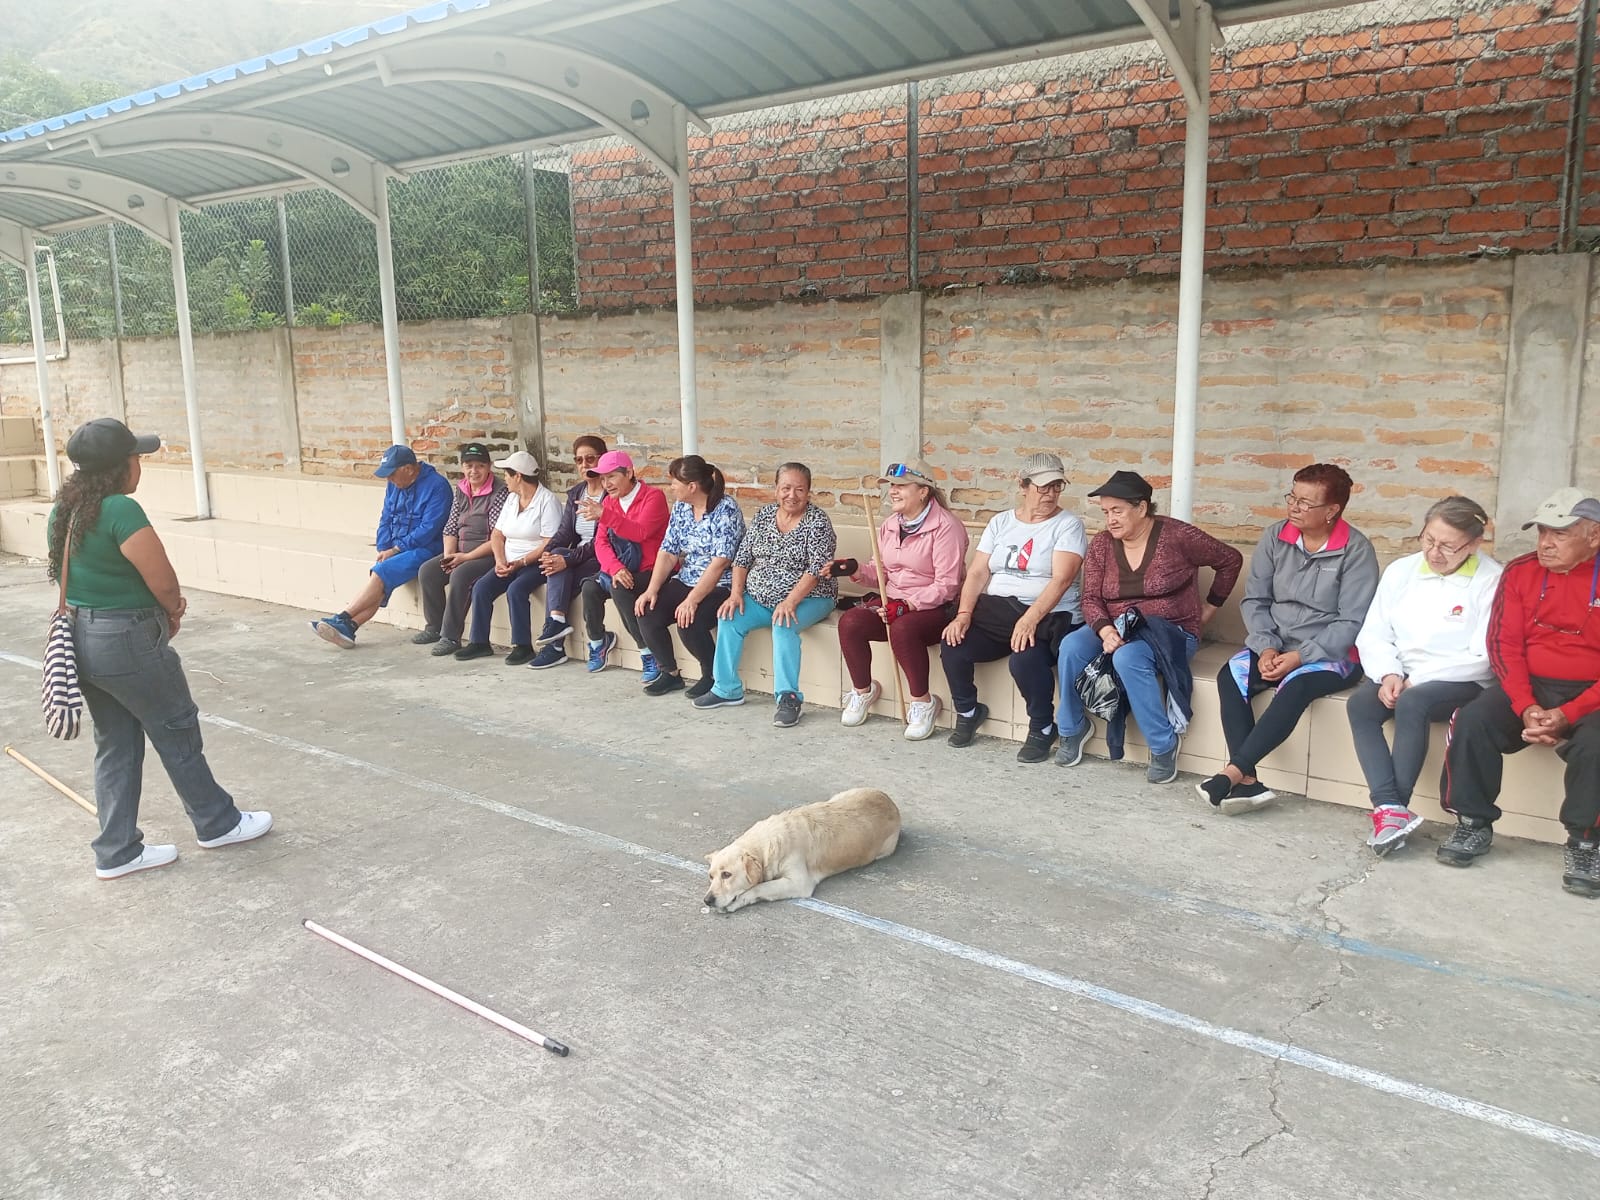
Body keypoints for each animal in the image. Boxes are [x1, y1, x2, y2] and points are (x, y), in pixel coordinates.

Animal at [703, 788, 900, 914]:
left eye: (727, 874)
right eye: (711, 876)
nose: (707, 900)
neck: (767, 843)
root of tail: (890, 801)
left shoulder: (798, 882)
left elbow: (762, 886)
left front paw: (740, 900)